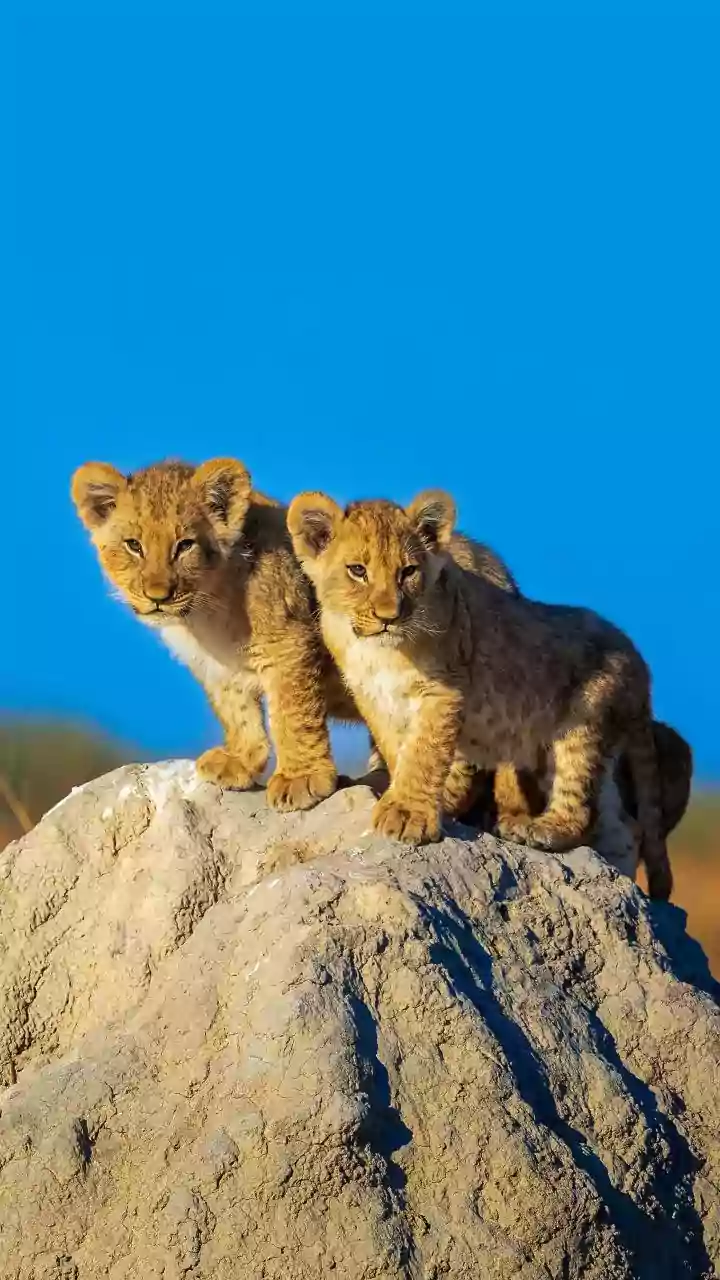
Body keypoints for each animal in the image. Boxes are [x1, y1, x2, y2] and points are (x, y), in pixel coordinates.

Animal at [287, 489, 674, 899]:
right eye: (357, 570)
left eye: (408, 572)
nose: (389, 616)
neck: (377, 652)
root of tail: (638, 660)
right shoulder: (373, 697)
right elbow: (398, 750)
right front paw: (406, 798)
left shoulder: (443, 691)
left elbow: (424, 753)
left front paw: (409, 813)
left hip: (582, 726)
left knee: (582, 813)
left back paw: (535, 829)